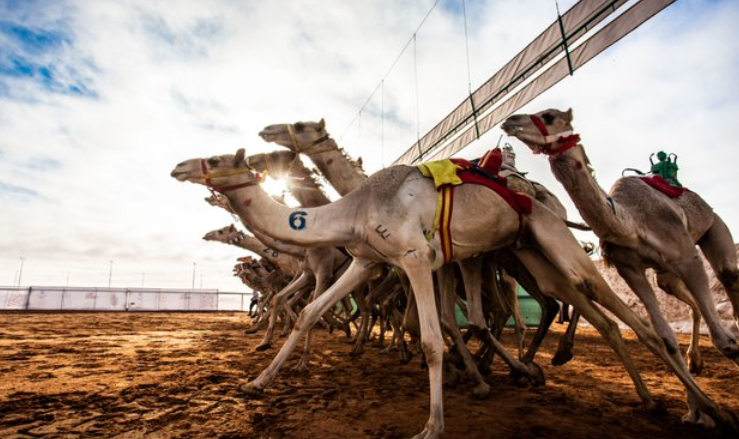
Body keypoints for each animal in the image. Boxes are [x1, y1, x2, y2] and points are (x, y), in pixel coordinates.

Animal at [502, 109, 739, 378]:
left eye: (549, 116)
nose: (510, 121)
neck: (631, 225)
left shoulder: (687, 256)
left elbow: (722, 339)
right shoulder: (630, 268)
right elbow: (667, 338)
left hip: (713, 225)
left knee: (728, 275)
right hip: (665, 275)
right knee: (684, 298)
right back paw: (694, 360)